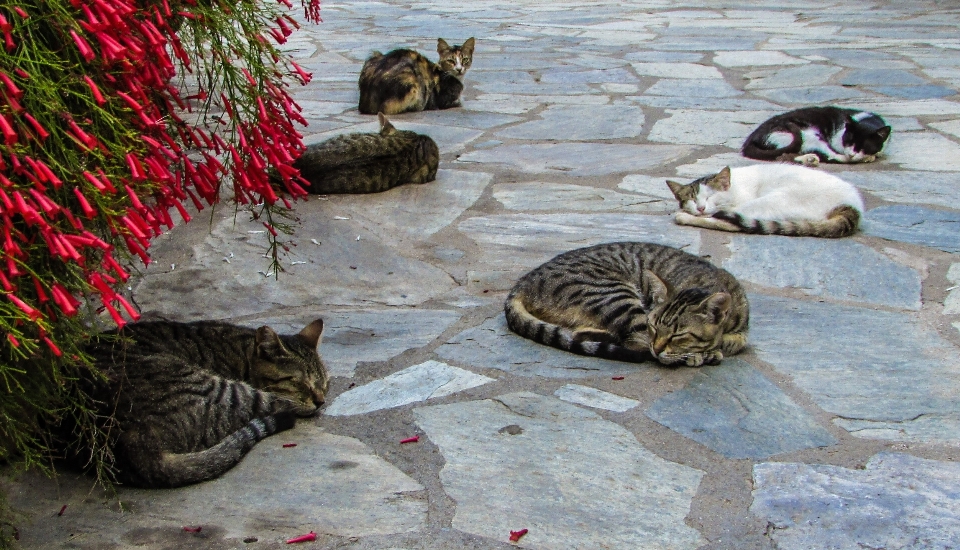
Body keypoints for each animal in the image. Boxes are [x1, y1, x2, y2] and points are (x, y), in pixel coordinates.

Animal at [66, 322, 330, 490]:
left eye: (324, 383)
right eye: (298, 382)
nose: (321, 401)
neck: (242, 353)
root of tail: (132, 443)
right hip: (226, 391)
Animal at [502, 243, 752, 368]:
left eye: (678, 335)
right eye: (654, 327)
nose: (658, 347)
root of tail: (523, 281)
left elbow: (736, 340)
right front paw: (703, 353)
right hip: (616, 295)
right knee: (634, 343)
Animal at [664, 166, 868, 239]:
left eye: (710, 197)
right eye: (692, 199)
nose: (700, 207)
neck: (735, 187)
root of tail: (852, 205)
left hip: (774, 199)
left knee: (731, 223)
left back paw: (684, 217)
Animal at [744, 106, 892, 164]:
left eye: (863, 145)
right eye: (849, 141)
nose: (851, 154)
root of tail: (750, 139)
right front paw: (867, 157)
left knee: (785, 155)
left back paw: (809, 159)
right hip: (809, 133)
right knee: (829, 155)